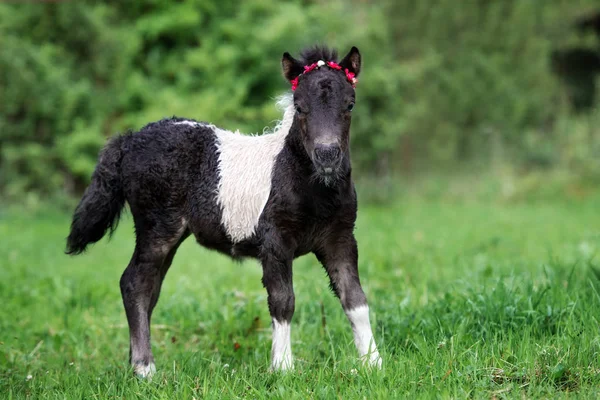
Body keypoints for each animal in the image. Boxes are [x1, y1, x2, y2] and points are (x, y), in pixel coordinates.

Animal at [67, 45, 380, 376]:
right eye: (299, 107)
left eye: (350, 105)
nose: (327, 155)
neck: (312, 188)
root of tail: (128, 140)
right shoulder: (275, 240)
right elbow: (283, 301)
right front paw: (282, 368)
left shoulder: (340, 239)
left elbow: (355, 298)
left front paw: (373, 364)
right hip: (157, 227)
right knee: (134, 284)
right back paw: (145, 368)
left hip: (170, 235)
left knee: (149, 289)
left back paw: (134, 362)